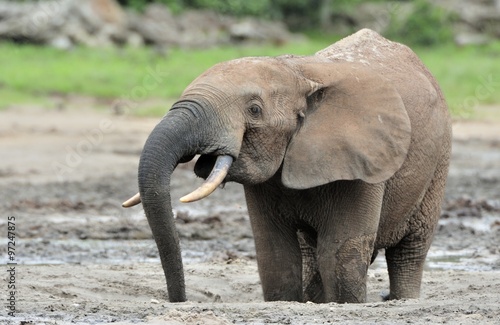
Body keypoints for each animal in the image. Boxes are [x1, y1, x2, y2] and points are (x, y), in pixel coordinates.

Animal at [123, 29, 452, 302]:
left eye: (254, 110)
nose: (179, 299)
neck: (297, 72)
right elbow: (275, 253)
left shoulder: (364, 160)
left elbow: (339, 252)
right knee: (310, 250)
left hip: (439, 161)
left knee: (409, 251)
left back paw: (402, 298)